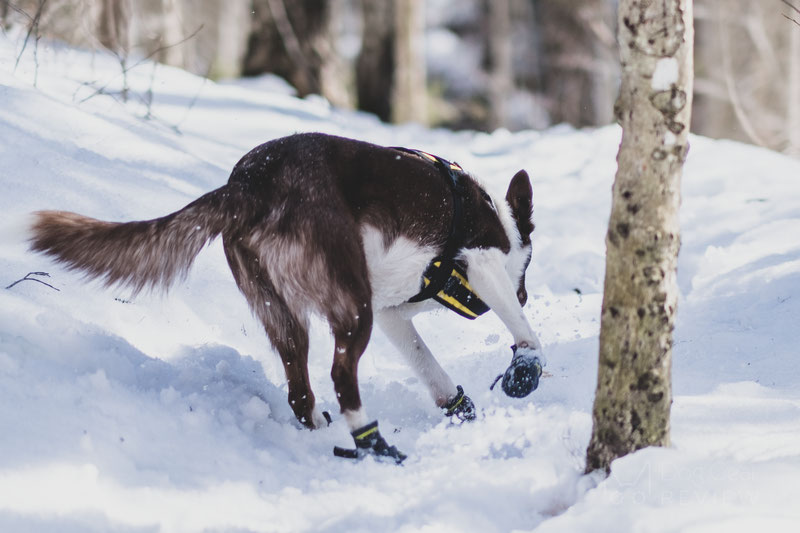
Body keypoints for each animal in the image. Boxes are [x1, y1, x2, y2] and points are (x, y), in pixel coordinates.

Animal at [29, 133, 544, 462]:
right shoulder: (480, 263)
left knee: (299, 391)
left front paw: (460, 409)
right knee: (340, 376)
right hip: (352, 305)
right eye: (527, 268)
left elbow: (430, 368)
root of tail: (248, 186)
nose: (524, 292)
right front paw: (526, 368)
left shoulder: (393, 315)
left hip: (282, 311)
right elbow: (523, 329)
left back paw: (324, 429)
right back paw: (370, 442)